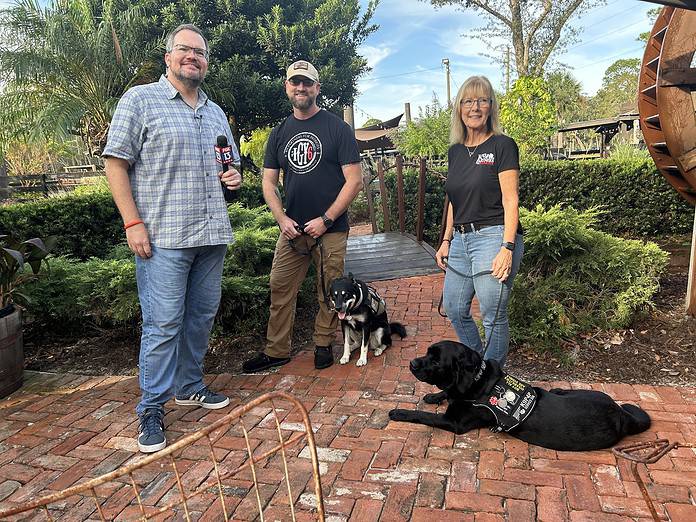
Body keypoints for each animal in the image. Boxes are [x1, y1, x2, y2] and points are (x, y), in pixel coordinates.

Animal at [388, 340, 648, 448]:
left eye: (435, 360)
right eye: (426, 352)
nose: (411, 363)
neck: (478, 382)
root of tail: (622, 415)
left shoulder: (454, 423)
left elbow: (422, 415)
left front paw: (399, 412)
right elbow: (447, 391)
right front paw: (434, 396)